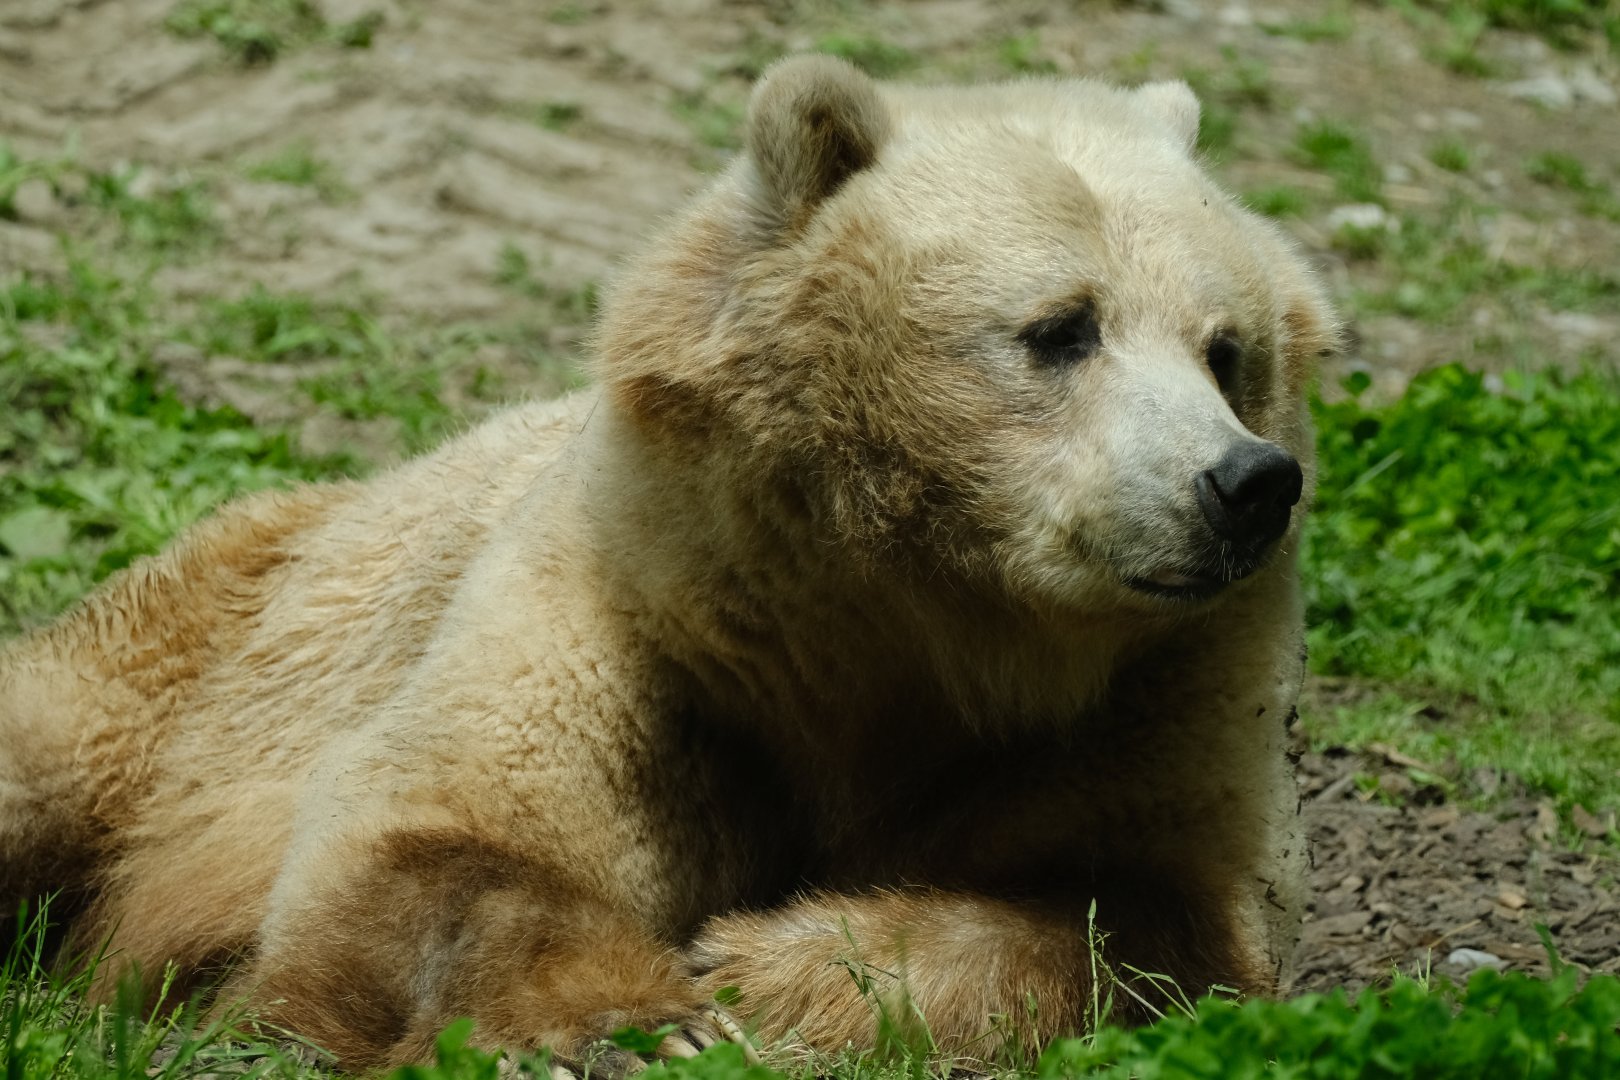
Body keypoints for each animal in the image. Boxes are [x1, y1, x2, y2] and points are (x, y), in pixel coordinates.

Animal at [0, 55, 1336, 1071]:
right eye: (1060, 328)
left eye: (1226, 347)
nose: (1243, 484)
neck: (908, 628)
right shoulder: (639, 625)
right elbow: (445, 833)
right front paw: (631, 1024)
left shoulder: (1151, 704)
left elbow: (1132, 926)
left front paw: (761, 965)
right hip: (205, 650)